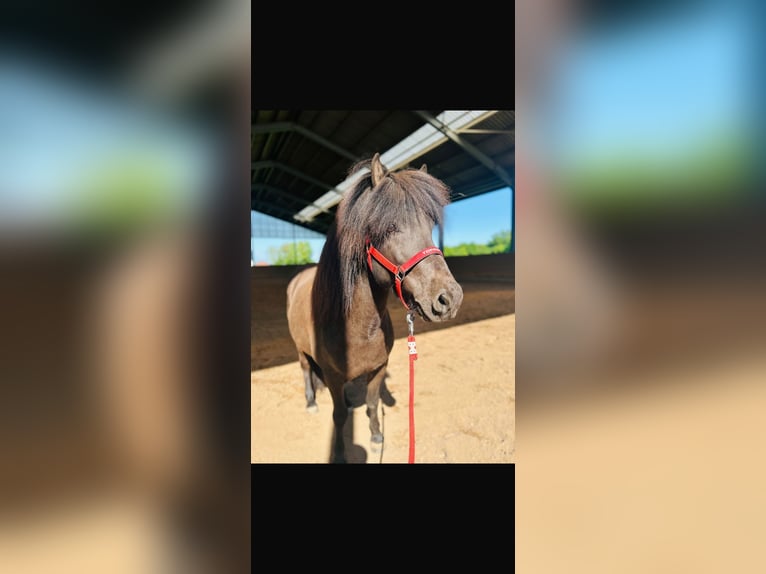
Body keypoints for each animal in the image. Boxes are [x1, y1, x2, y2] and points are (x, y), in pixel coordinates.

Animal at [286, 153, 464, 463]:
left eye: (430, 228)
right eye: (389, 227)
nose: (449, 298)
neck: (357, 326)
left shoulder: (379, 369)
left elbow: (369, 404)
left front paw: (377, 437)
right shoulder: (334, 376)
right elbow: (338, 416)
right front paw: (340, 454)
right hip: (300, 350)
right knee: (307, 370)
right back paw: (310, 402)